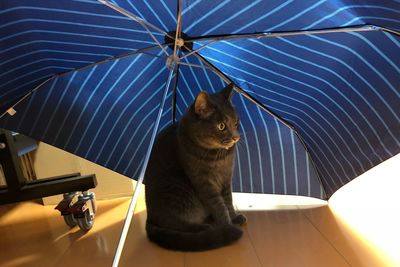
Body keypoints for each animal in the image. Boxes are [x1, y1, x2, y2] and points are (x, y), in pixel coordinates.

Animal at [144, 85, 247, 252]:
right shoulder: (204, 184)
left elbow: (228, 201)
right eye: (221, 126)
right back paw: (204, 228)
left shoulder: (226, 179)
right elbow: (219, 206)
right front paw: (228, 226)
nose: (236, 137)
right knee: (175, 223)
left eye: (236, 123)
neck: (219, 156)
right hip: (176, 190)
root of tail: (150, 218)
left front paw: (234, 218)